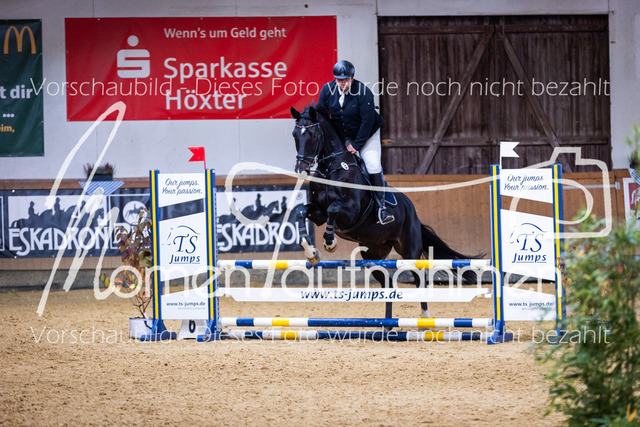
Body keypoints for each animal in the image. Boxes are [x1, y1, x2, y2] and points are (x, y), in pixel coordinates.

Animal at [290, 104, 477, 320]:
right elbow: (301, 211)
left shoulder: (350, 212)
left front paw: (330, 243)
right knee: (387, 282)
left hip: (409, 250)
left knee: (419, 277)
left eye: (312, 135)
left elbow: (333, 209)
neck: (332, 168)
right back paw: (387, 323)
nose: (300, 169)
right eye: (295, 135)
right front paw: (311, 252)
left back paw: (425, 315)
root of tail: (413, 211)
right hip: (372, 253)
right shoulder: (318, 212)